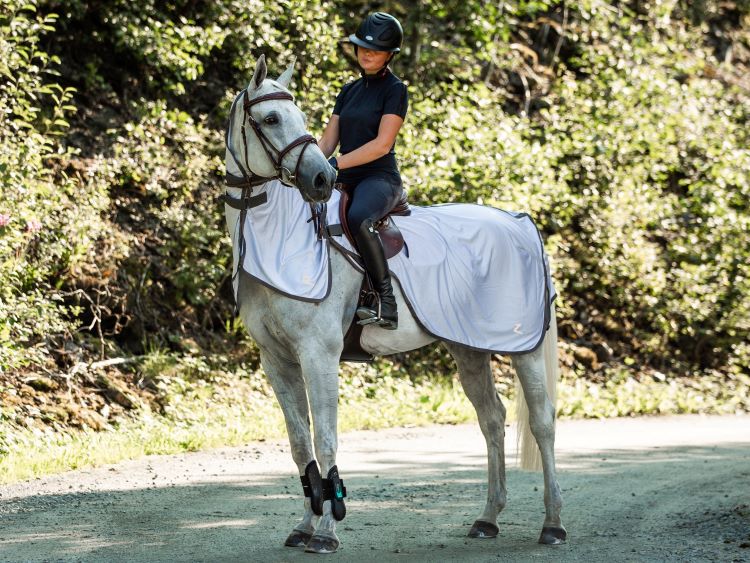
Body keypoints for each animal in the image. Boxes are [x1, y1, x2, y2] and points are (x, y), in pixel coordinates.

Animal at [222, 55, 566, 554]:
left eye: (297, 117)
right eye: (270, 119)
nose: (322, 179)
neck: (281, 241)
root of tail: (520, 222)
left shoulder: (318, 355)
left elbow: (326, 440)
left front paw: (326, 533)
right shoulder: (276, 361)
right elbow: (300, 444)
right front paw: (304, 526)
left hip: (524, 349)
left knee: (541, 422)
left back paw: (553, 524)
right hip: (469, 348)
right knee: (492, 419)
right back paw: (487, 518)